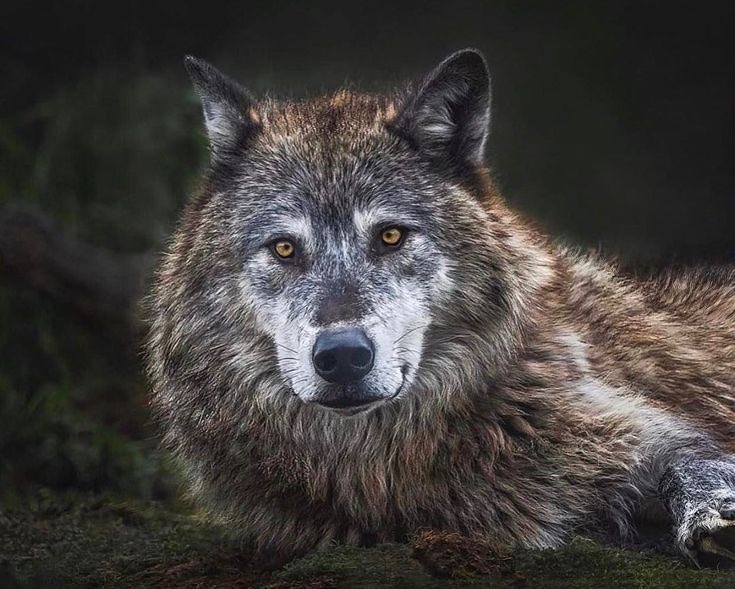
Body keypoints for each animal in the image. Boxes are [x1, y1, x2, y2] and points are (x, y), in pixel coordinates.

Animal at [146, 49, 735, 565]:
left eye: (390, 236)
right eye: (285, 248)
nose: (342, 356)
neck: (382, 466)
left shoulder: (649, 429)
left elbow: (693, 461)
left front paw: (711, 517)